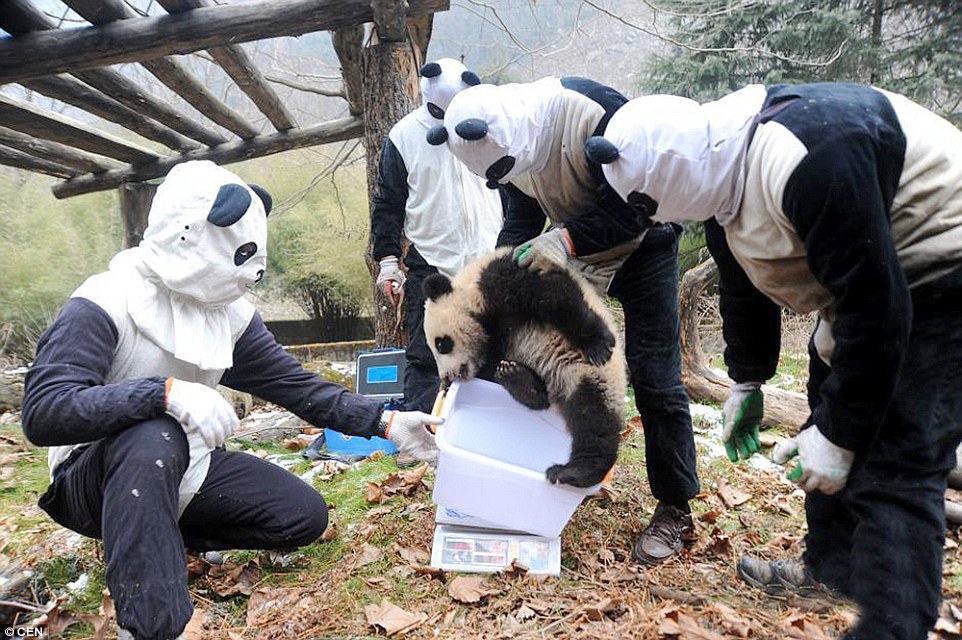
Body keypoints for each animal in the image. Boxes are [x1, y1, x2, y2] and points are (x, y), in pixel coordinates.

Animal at [422, 248, 628, 488]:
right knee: (551, 404)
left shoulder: (502, 277)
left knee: (594, 420)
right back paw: (519, 381)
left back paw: (576, 472)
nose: (447, 377)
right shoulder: (497, 343)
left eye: (441, 344)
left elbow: (553, 297)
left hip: (593, 375)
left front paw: (599, 344)